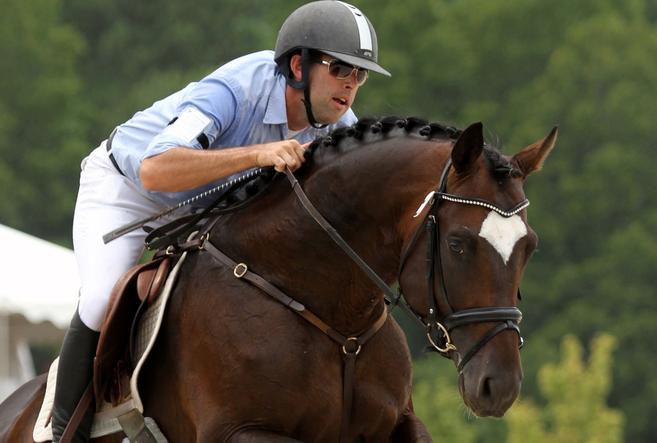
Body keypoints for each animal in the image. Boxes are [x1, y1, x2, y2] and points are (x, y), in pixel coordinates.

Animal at [0, 116, 552, 442]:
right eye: (458, 244)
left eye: (529, 247)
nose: (498, 387)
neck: (331, 314)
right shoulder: (238, 432)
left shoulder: (397, 425)